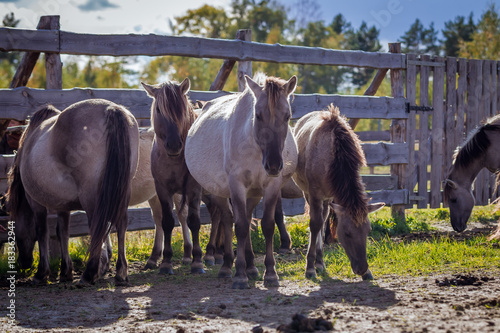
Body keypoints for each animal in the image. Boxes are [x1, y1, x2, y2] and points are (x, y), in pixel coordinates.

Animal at [7, 98, 141, 282]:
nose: (23, 263)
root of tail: (111, 109)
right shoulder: (62, 203)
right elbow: (62, 231)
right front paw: (65, 271)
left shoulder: (35, 201)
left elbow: (42, 232)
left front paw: (42, 273)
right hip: (121, 191)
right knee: (121, 223)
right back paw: (120, 272)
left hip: (91, 197)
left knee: (97, 226)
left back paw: (89, 273)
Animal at [141, 78, 207, 274]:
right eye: (158, 109)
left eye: (181, 109)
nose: (174, 145)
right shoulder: (163, 190)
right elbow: (168, 222)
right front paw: (166, 262)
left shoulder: (194, 189)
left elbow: (194, 221)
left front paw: (197, 262)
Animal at [187, 74, 296, 286]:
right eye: (258, 115)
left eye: (287, 116)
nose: (273, 165)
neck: (255, 148)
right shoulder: (236, 185)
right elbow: (240, 226)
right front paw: (239, 274)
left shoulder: (271, 186)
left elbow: (267, 225)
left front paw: (270, 273)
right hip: (218, 191)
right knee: (228, 220)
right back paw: (227, 266)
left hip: (253, 193)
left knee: (244, 216)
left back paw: (251, 267)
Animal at [292, 104, 384, 280]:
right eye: (347, 233)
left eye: (368, 230)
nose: (362, 268)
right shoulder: (314, 193)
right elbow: (314, 225)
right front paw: (309, 267)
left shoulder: (331, 196)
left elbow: (322, 224)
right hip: (307, 192)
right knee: (318, 222)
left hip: (327, 198)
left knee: (324, 220)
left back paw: (320, 262)